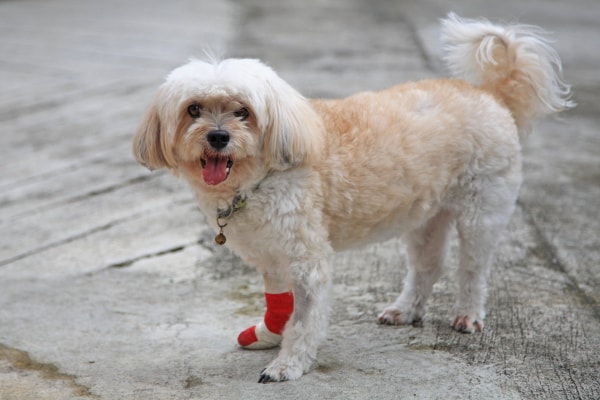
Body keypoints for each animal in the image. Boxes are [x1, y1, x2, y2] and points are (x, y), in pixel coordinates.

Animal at [131, 12, 572, 382]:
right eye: (193, 109)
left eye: (243, 112)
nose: (219, 136)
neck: (262, 176)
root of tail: (491, 94)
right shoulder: (271, 254)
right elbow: (279, 301)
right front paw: (269, 334)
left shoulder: (306, 258)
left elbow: (304, 319)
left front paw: (288, 364)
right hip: (426, 217)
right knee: (426, 267)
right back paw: (405, 310)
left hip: (481, 211)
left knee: (473, 270)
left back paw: (467, 314)